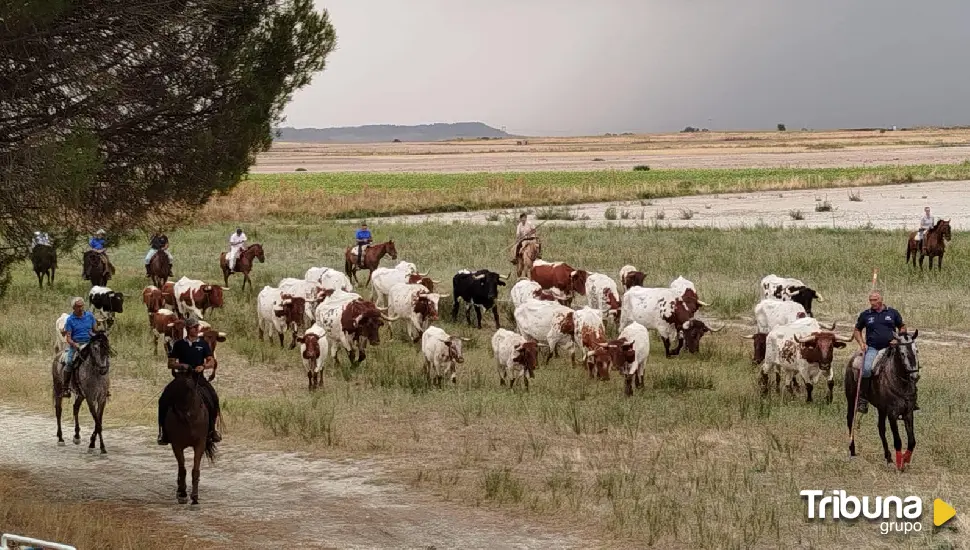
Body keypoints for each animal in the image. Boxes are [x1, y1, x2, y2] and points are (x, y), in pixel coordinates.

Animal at [163, 374, 216, 506]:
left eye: (191, 391)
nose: (184, 415)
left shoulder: (200, 445)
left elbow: (195, 470)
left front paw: (195, 497)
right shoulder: (176, 445)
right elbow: (182, 468)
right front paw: (182, 493)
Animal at [844, 332, 920, 474]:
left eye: (916, 350)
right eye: (902, 353)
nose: (915, 376)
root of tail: (853, 360)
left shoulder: (908, 412)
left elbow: (912, 441)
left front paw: (905, 460)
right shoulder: (892, 414)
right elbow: (898, 440)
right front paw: (900, 464)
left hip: (881, 408)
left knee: (881, 429)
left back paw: (888, 458)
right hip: (852, 400)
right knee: (850, 421)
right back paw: (852, 450)